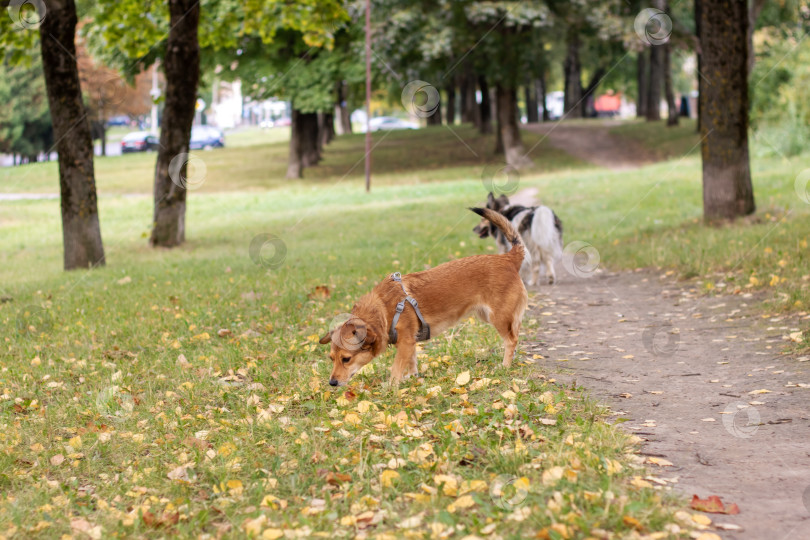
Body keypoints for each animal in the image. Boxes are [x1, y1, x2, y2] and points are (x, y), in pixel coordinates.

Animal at [318, 205, 528, 386]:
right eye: (331, 358)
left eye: (346, 359)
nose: (332, 383)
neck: (383, 309)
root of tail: (508, 258)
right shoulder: (409, 344)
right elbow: (411, 363)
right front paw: (413, 378)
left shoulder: (405, 343)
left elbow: (396, 369)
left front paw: (391, 387)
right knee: (515, 334)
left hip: (498, 317)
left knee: (511, 340)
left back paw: (505, 366)